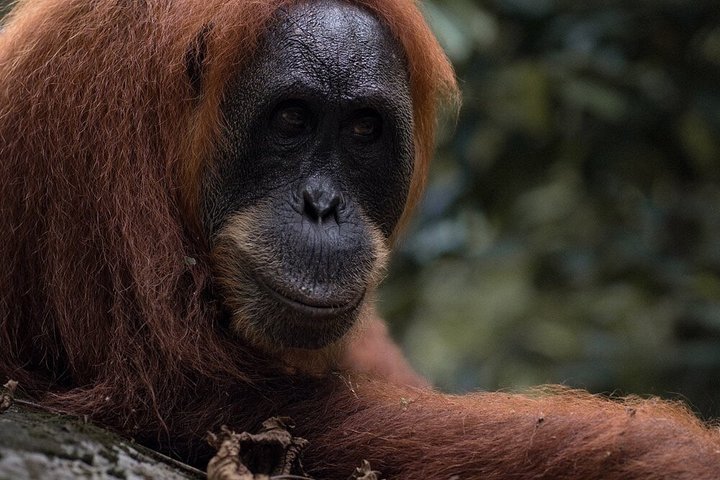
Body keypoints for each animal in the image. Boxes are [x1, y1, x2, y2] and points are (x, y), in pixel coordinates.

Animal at [0, 0, 718, 478]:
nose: (323, 207)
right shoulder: (98, 173)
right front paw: (678, 457)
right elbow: (208, 402)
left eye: (363, 130)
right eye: (291, 118)